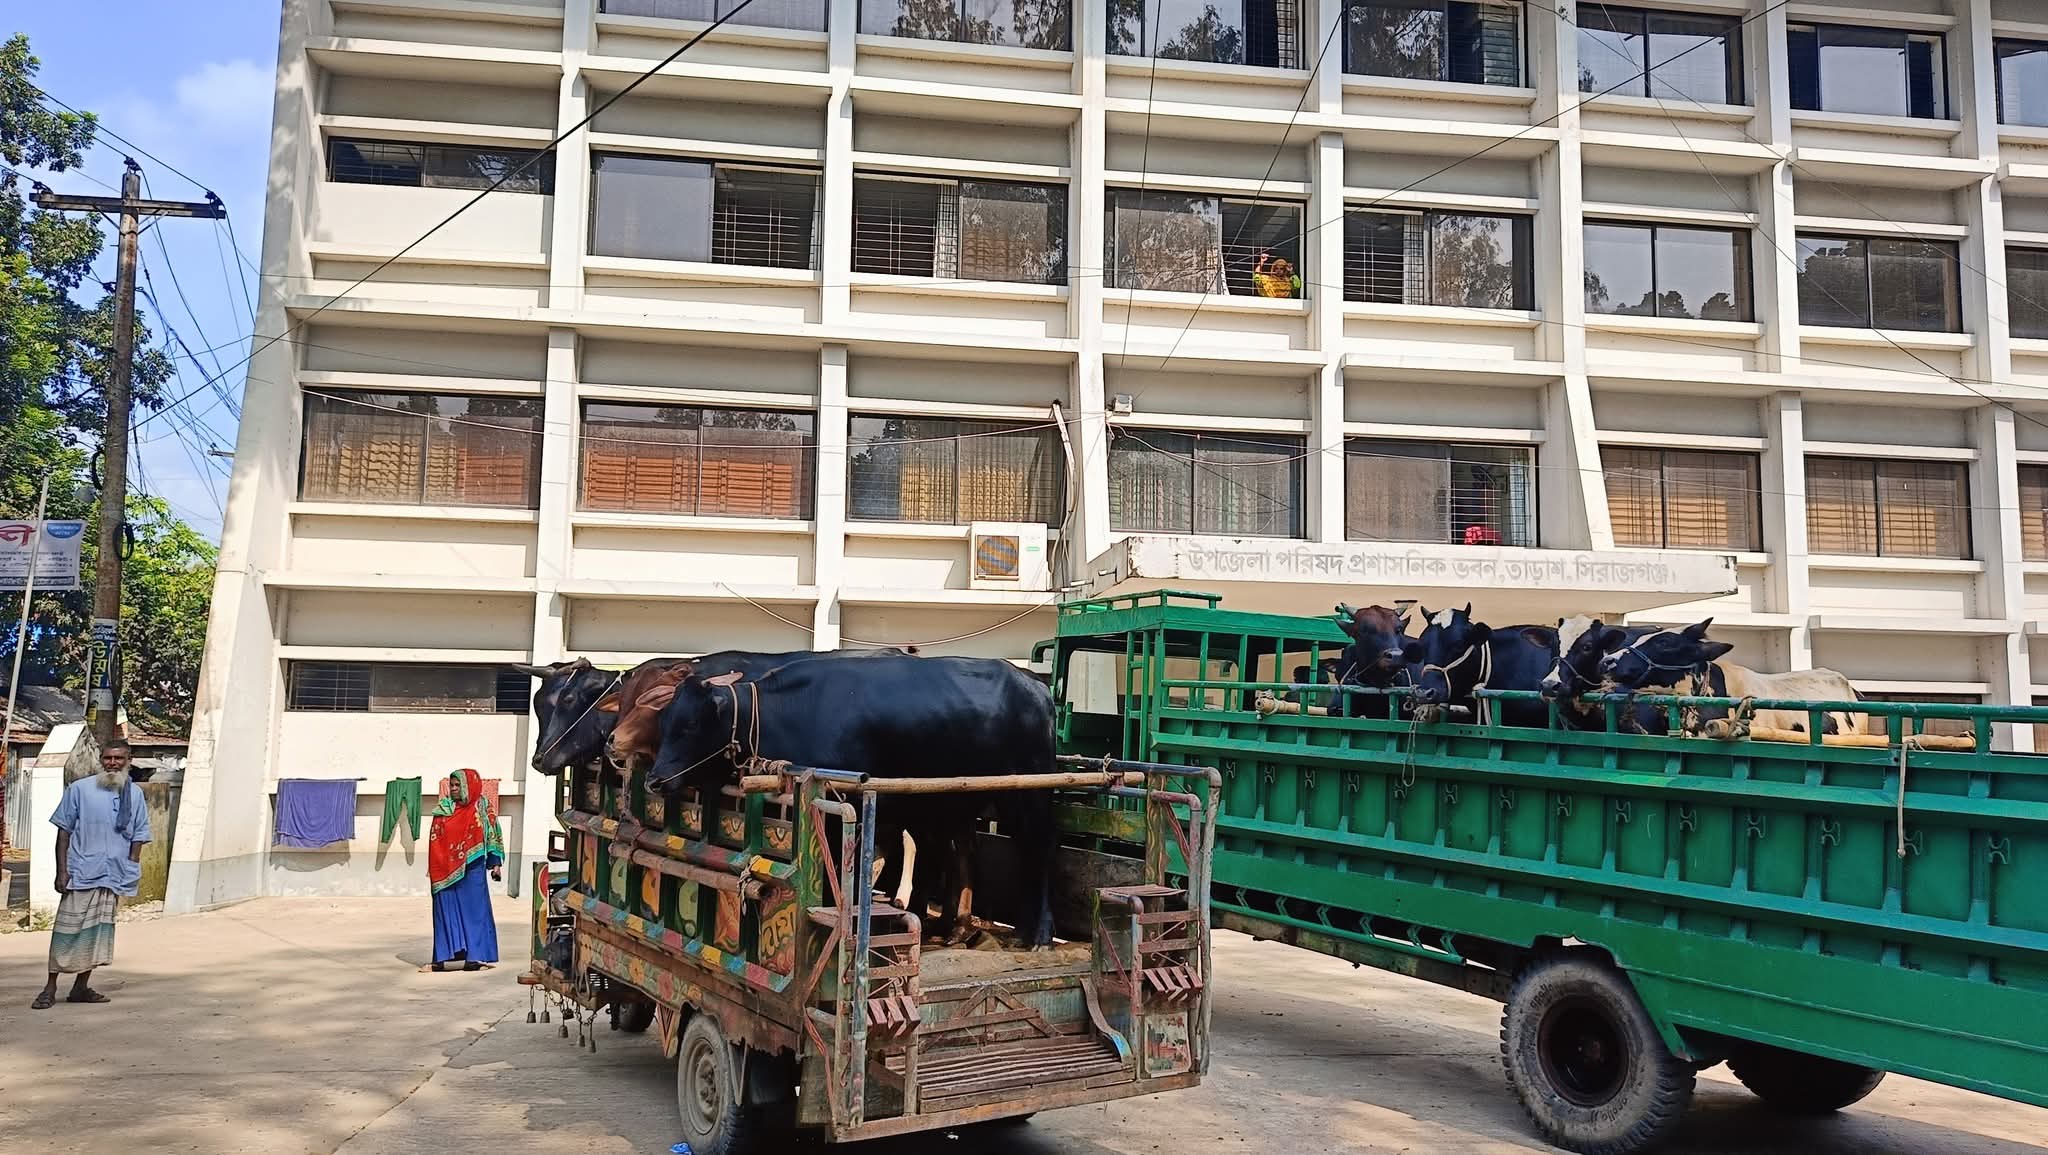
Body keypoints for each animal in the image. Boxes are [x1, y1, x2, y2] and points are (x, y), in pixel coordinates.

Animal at [647, 653, 1061, 947]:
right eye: (664, 724)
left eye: (689, 726)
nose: (655, 780)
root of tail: (1036, 687)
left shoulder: (845, 813)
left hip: (1028, 796)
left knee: (1038, 849)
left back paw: (1037, 933)